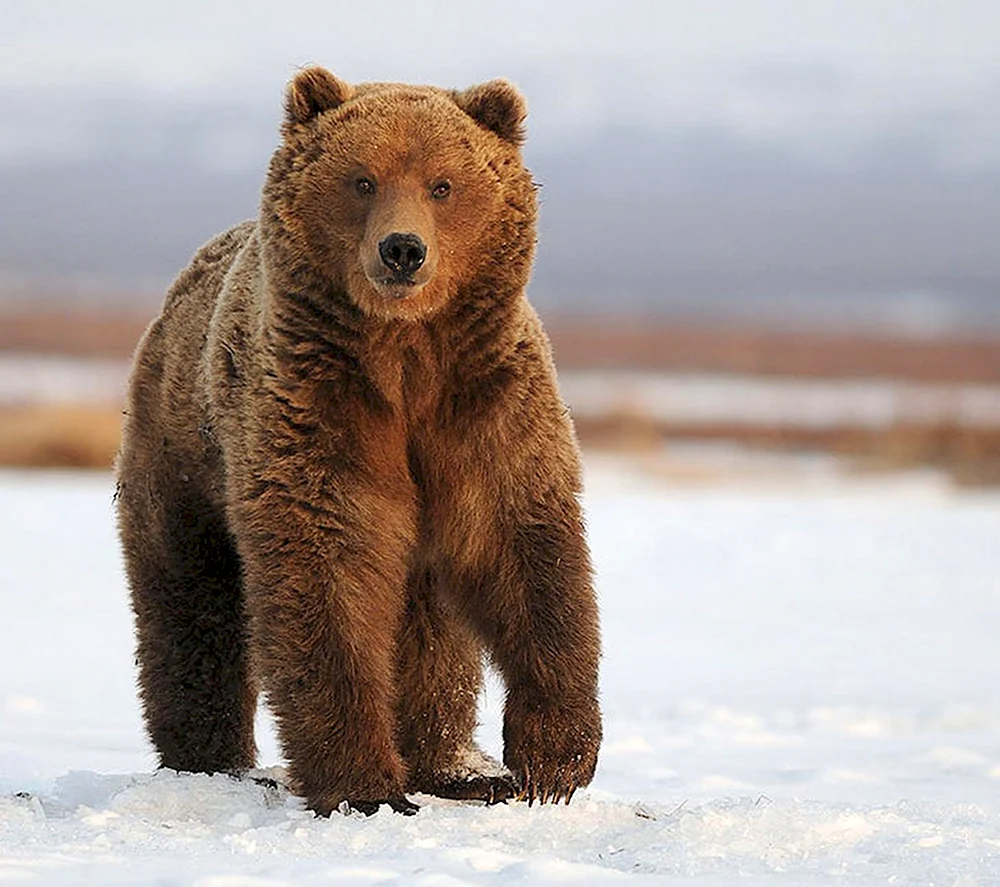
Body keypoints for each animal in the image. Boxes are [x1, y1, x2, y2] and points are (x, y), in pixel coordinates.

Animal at [117, 66, 600, 820]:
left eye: (442, 183)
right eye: (362, 179)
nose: (402, 250)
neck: (404, 354)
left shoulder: (482, 401)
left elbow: (523, 546)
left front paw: (552, 761)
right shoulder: (317, 406)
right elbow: (330, 568)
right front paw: (363, 785)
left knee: (433, 628)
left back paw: (455, 767)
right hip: (181, 454)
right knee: (190, 599)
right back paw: (212, 761)